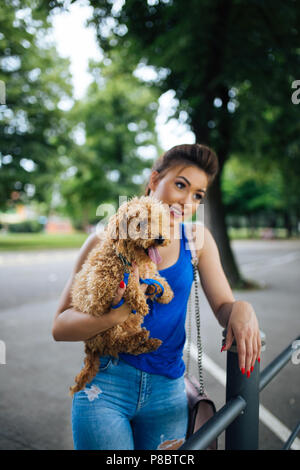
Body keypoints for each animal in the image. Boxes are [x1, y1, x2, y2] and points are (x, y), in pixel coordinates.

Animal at [69, 193, 175, 394]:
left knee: (127, 347)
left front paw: (165, 293)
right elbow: (129, 284)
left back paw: (148, 342)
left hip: (129, 323)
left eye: (159, 221)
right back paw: (139, 338)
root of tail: (90, 348)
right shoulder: (100, 289)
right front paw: (139, 299)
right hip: (105, 329)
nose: (160, 238)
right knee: (116, 343)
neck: (126, 258)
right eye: (140, 223)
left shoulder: (146, 273)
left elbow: (155, 278)